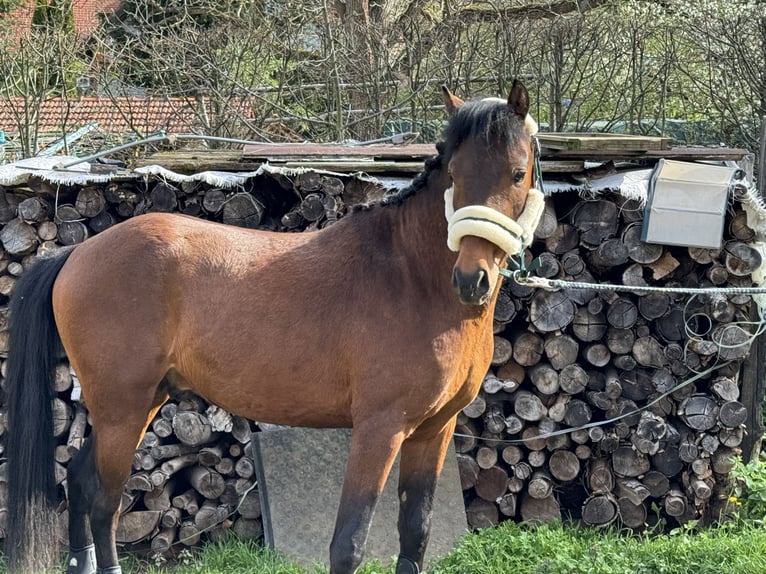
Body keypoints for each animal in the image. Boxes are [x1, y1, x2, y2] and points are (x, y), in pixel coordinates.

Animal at [7, 81, 544, 574]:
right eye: (454, 174)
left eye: (517, 173)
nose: (471, 280)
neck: (411, 275)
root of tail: (78, 251)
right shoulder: (380, 429)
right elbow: (349, 542)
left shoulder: (434, 431)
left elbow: (416, 532)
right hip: (123, 408)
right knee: (104, 503)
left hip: (137, 403)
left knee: (79, 484)